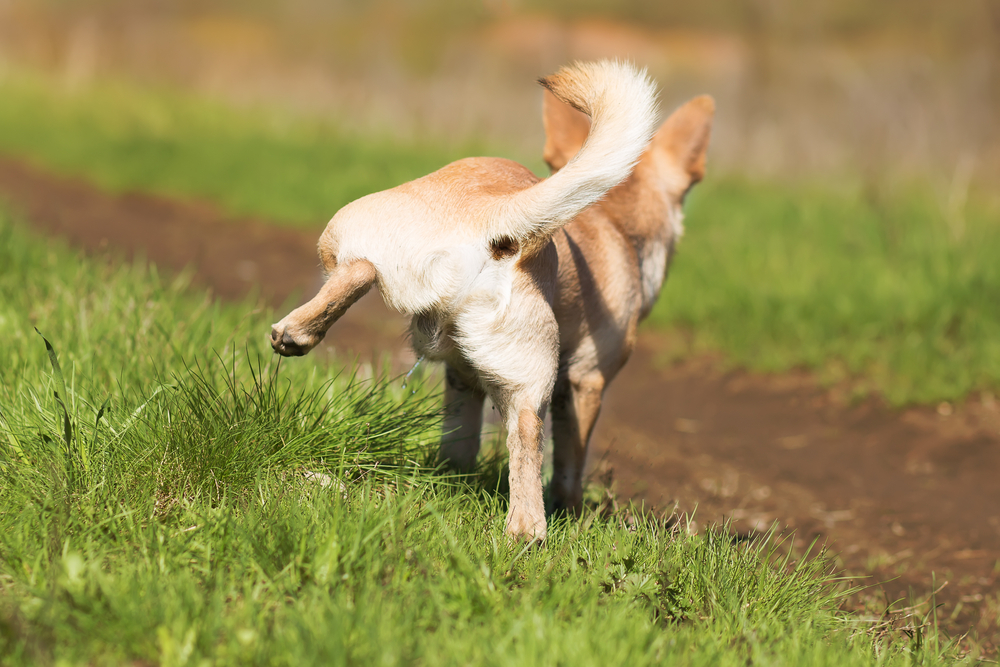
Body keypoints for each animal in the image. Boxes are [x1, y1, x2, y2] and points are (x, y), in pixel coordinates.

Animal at [270, 61, 716, 544]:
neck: (615, 218)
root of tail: (492, 215)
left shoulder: (462, 376)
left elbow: (460, 441)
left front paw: (452, 476)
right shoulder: (585, 382)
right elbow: (570, 462)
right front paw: (573, 511)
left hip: (351, 237)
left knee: (359, 270)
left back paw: (299, 331)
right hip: (536, 372)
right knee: (527, 438)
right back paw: (529, 533)